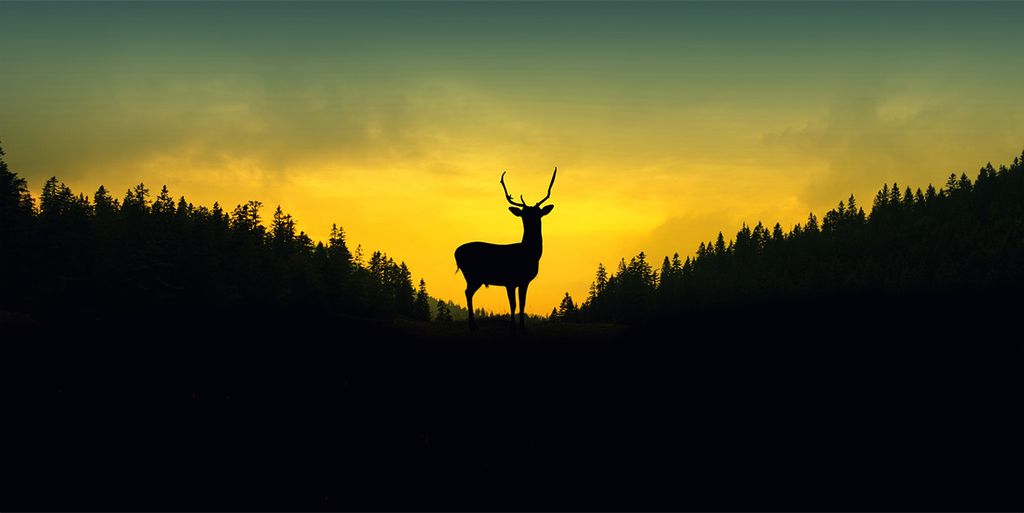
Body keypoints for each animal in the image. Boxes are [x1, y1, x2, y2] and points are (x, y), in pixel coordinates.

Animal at [455, 167, 557, 333]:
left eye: (538, 213)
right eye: (523, 215)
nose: (530, 219)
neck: (529, 254)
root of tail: (456, 253)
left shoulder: (524, 281)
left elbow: (522, 304)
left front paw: (522, 329)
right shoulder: (510, 280)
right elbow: (513, 305)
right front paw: (512, 329)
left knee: (468, 293)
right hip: (473, 275)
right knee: (467, 293)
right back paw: (472, 326)